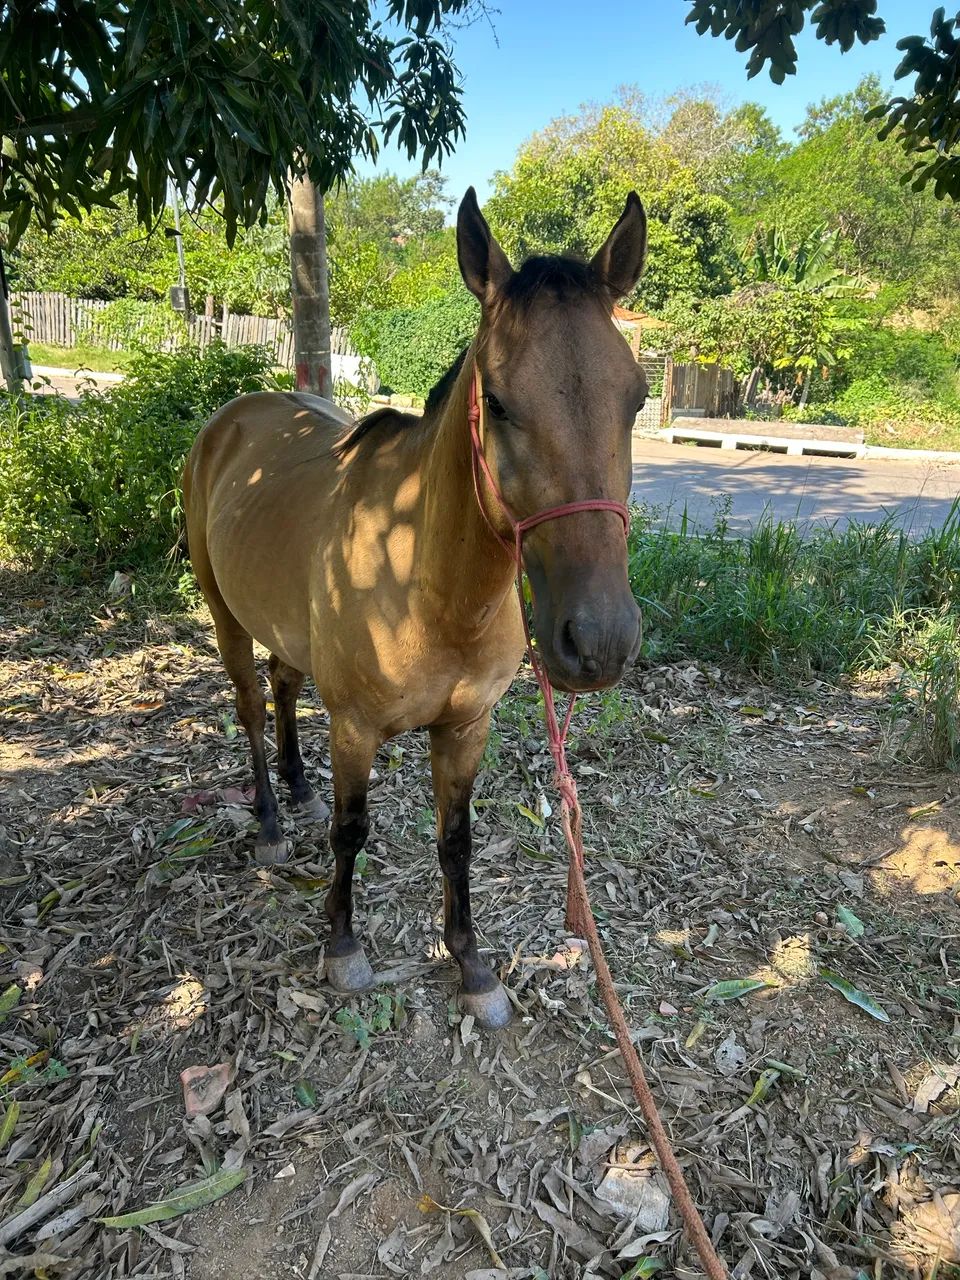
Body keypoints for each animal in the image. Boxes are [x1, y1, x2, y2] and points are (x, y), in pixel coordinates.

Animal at [182, 188, 648, 1029]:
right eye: (497, 401)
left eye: (636, 398)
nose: (599, 640)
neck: (434, 591)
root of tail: (230, 420)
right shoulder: (356, 730)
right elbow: (352, 832)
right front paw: (342, 946)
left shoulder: (466, 729)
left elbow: (455, 840)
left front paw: (472, 965)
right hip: (224, 615)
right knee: (250, 709)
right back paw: (269, 822)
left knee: (283, 687)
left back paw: (298, 789)